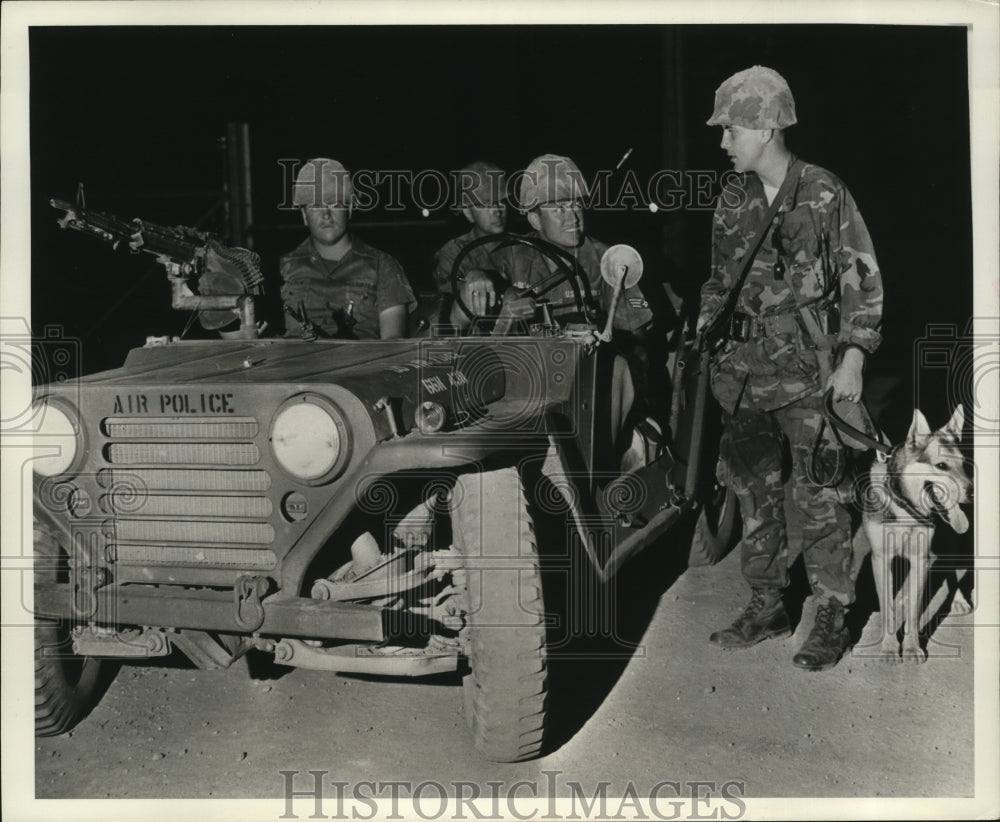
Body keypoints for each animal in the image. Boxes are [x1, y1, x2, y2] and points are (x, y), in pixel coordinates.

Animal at [864, 406, 972, 664]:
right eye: (941, 466)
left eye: (964, 464)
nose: (973, 491)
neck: (906, 507)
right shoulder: (881, 558)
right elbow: (887, 608)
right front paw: (889, 648)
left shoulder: (920, 558)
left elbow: (914, 611)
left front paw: (912, 647)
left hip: (951, 539)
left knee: (951, 569)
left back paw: (958, 598)